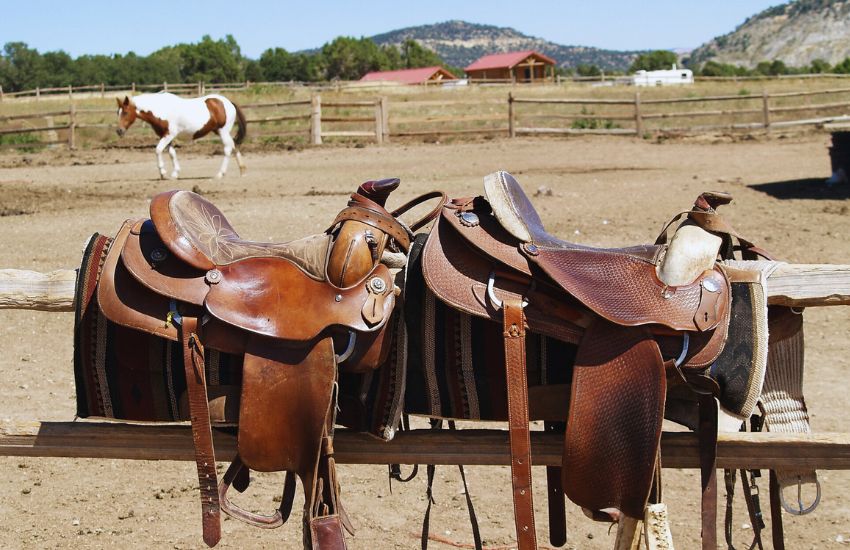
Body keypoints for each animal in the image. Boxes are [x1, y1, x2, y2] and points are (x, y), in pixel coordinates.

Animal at [114, 92, 245, 179]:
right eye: (118, 112)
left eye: (125, 112)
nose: (119, 130)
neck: (161, 109)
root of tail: (228, 103)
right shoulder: (166, 136)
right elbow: (172, 153)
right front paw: (175, 173)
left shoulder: (168, 135)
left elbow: (158, 150)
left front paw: (163, 173)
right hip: (221, 132)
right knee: (234, 146)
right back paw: (242, 170)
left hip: (223, 131)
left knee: (227, 149)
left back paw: (220, 174)